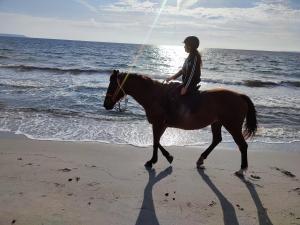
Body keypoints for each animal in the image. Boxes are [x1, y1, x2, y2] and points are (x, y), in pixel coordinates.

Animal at [104, 69, 256, 175]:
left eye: (112, 85)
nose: (106, 105)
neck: (154, 96)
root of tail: (240, 96)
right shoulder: (161, 124)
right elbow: (157, 141)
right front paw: (167, 157)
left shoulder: (159, 123)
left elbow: (155, 142)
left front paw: (154, 160)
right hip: (216, 122)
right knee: (217, 140)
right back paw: (201, 159)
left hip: (232, 125)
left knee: (242, 145)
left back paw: (242, 170)